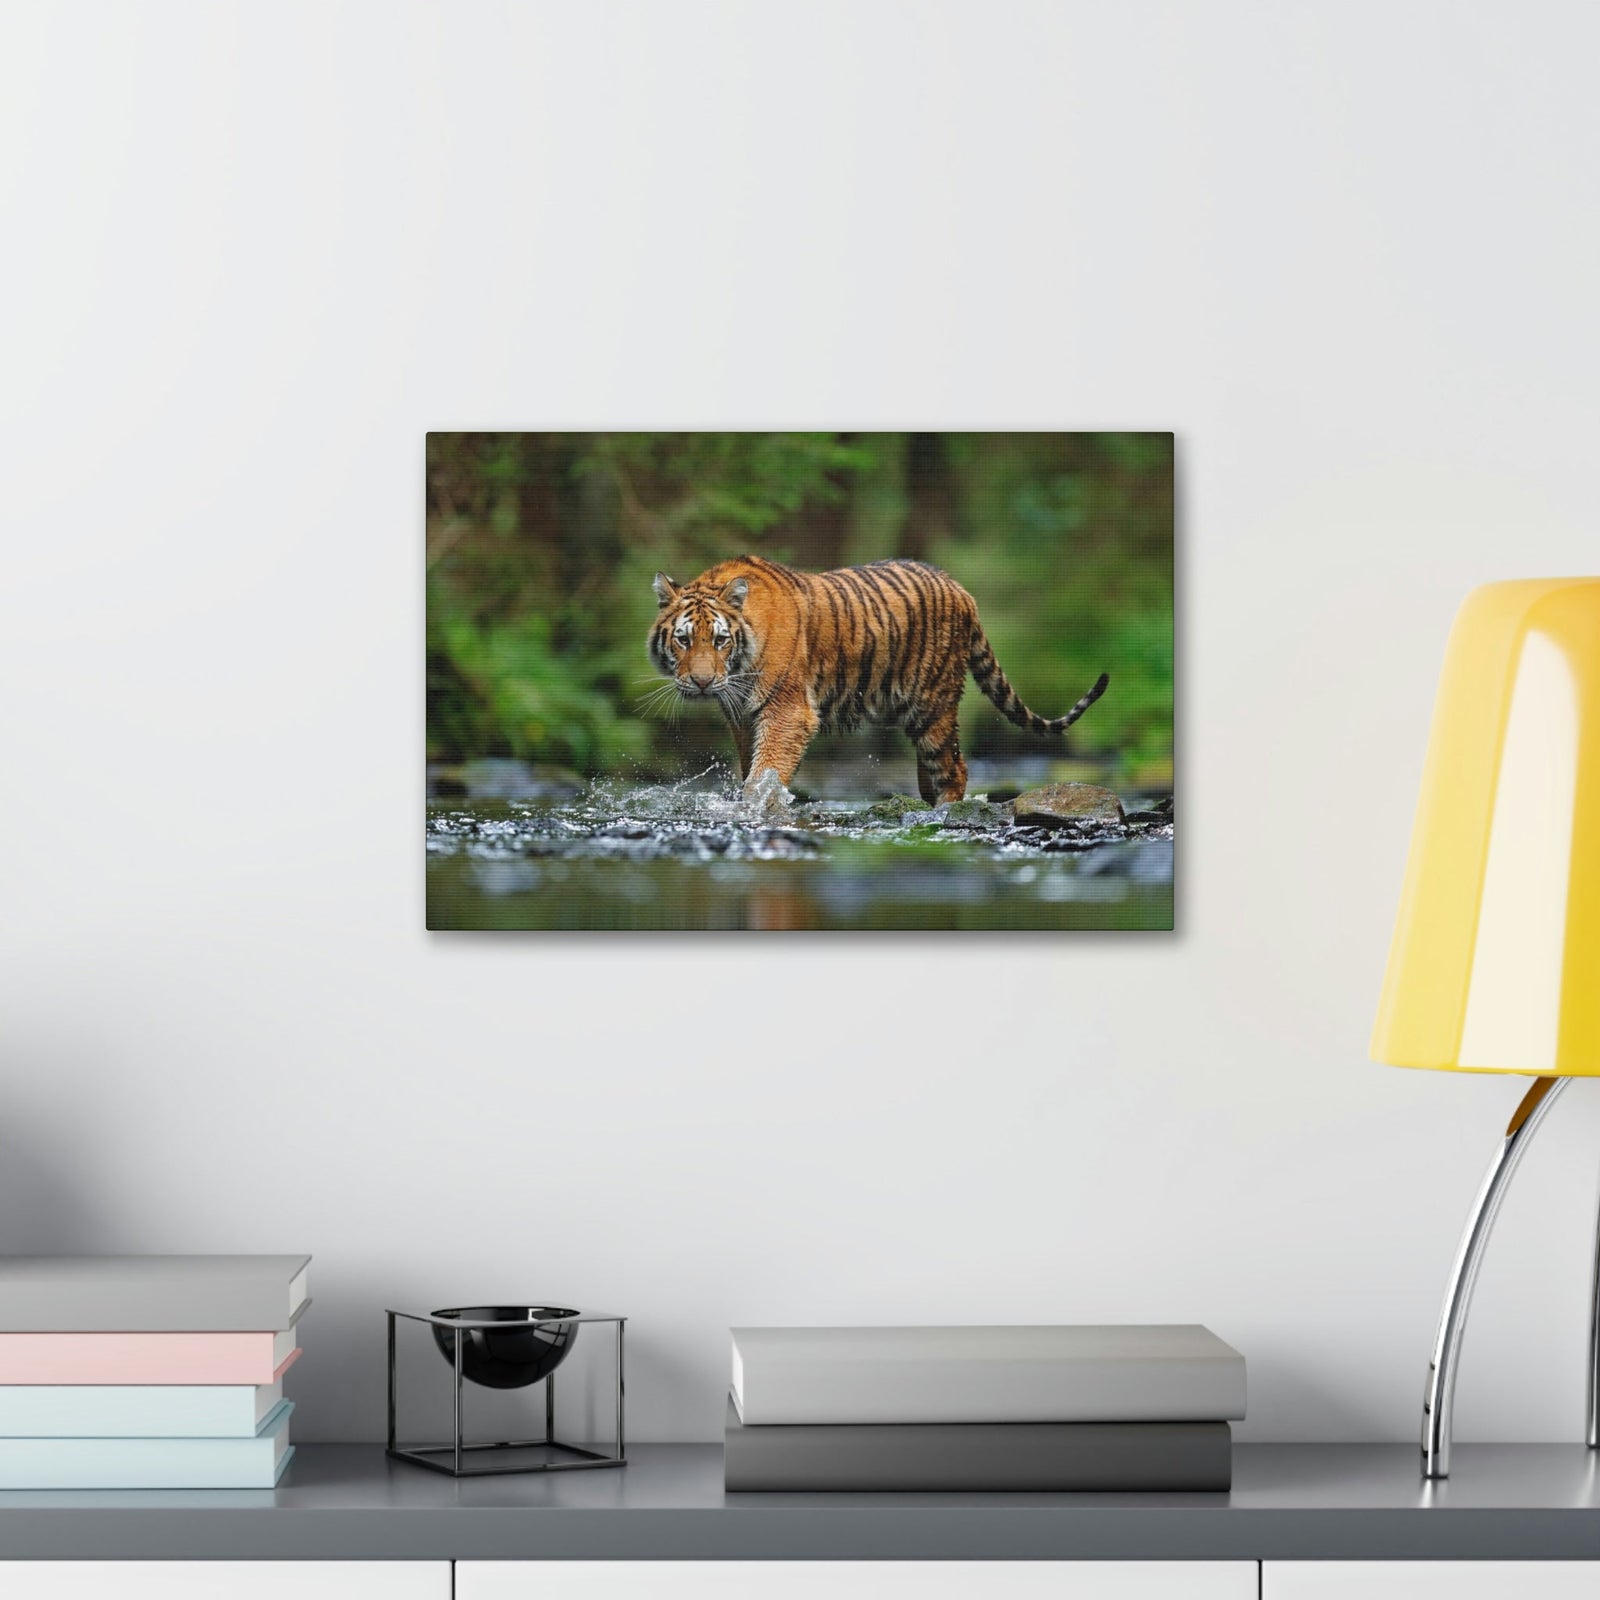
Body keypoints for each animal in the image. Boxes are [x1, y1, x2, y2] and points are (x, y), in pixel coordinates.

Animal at [647, 554, 1108, 803]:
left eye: (720, 640)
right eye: (684, 640)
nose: (702, 682)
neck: (739, 669)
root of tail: (963, 590)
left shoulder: (787, 711)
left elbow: (766, 772)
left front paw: (757, 807)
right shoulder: (742, 716)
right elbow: (751, 768)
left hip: (933, 705)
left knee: (955, 767)